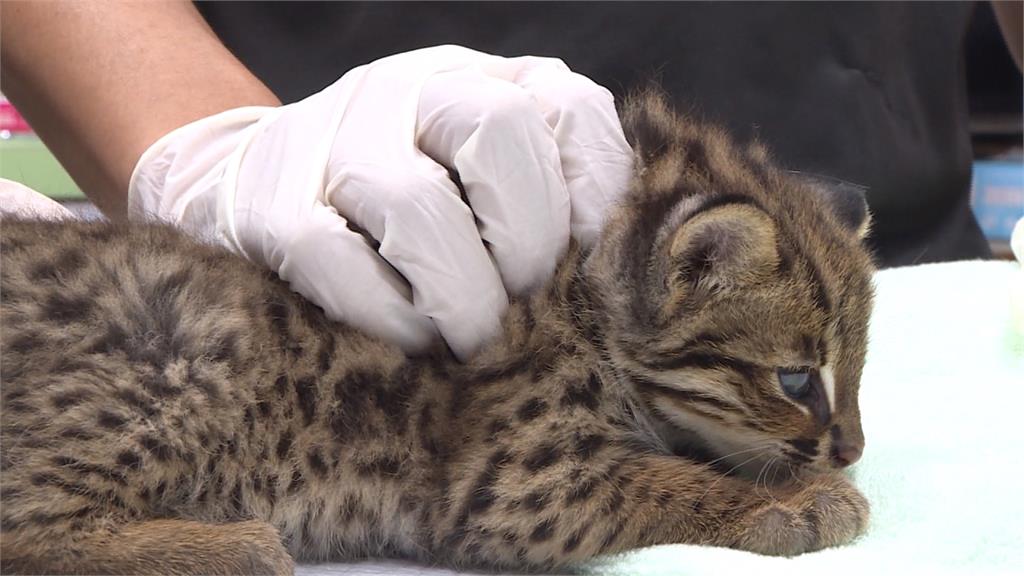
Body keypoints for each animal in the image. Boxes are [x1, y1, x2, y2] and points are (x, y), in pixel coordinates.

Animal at [0, 91, 876, 569]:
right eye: (796, 379)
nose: (852, 451)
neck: (584, 304)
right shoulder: (516, 482)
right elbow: (662, 480)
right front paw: (792, 502)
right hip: (176, 365)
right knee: (23, 529)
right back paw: (231, 549)